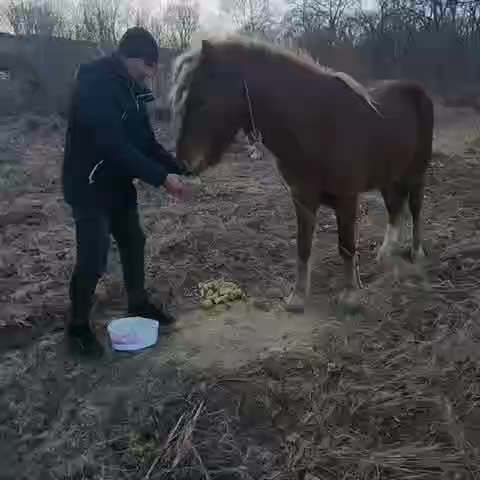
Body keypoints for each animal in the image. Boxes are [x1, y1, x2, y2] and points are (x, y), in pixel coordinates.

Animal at [170, 34, 436, 312]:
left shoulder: (346, 198)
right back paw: (385, 253)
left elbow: (346, 246)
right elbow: (303, 246)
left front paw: (350, 295)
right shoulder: (302, 199)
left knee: (415, 209)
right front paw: (297, 297)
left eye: (201, 102)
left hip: (416, 172)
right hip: (389, 175)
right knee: (395, 209)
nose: (183, 163)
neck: (316, 123)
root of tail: (417, 90)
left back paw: (416, 253)